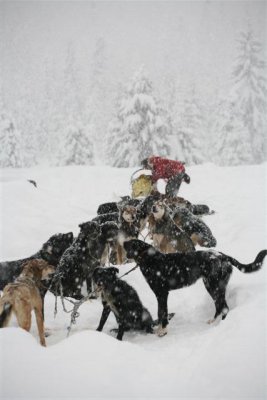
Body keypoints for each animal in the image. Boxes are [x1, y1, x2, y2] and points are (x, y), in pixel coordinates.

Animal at [124, 239, 267, 336]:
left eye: (130, 243)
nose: (123, 242)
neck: (149, 259)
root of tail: (222, 256)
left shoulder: (162, 294)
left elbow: (162, 313)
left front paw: (162, 331)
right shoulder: (161, 295)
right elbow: (161, 313)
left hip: (215, 286)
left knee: (224, 307)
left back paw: (222, 325)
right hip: (210, 286)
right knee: (219, 306)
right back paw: (213, 321)